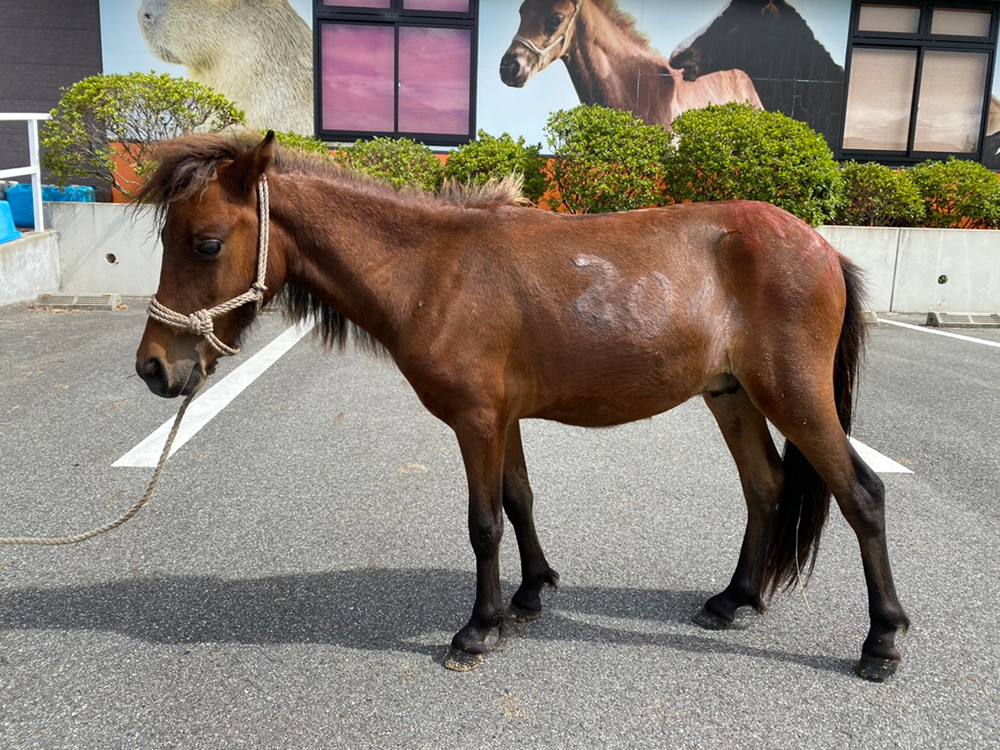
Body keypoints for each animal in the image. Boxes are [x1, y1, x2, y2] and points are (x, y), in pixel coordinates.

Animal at [131, 132, 908, 684]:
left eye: (205, 243)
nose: (154, 368)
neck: (432, 271)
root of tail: (819, 244)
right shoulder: (503, 420)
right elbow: (520, 500)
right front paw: (532, 593)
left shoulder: (476, 421)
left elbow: (483, 524)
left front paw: (479, 628)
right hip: (732, 395)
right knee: (765, 488)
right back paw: (734, 598)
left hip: (793, 394)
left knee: (862, 494)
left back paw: (882, 640)